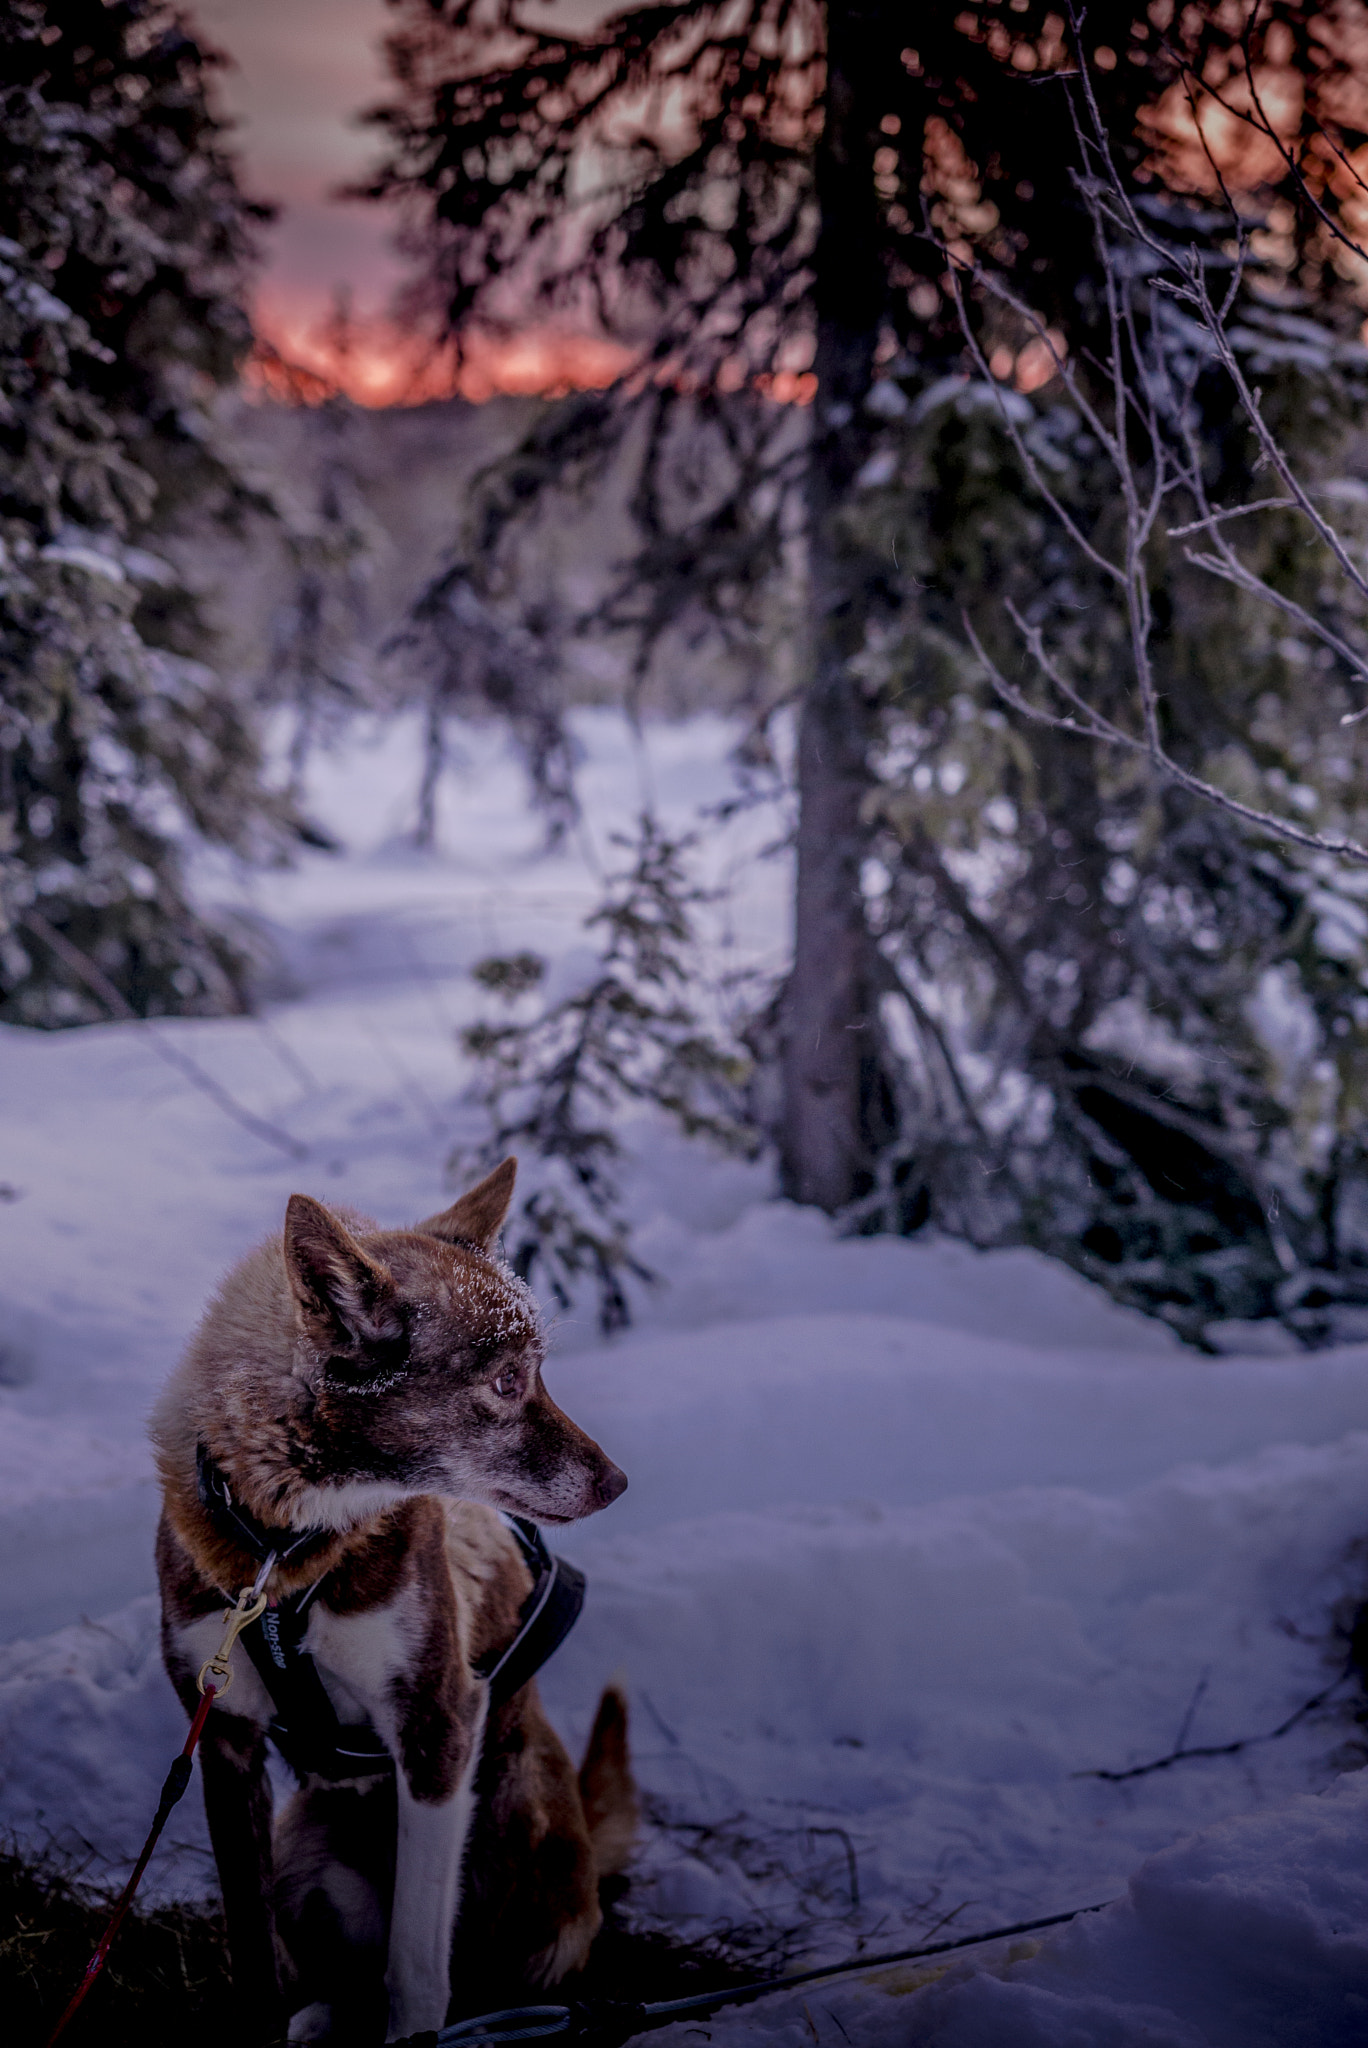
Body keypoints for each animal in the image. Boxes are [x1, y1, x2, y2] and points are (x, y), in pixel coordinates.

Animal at [150, 1163, 634, 2039]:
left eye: (539, 1372)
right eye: (507, 1380)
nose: (616, 1482)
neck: (287, 1549)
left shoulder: (436, 1726)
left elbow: (415, 1963)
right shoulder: (226, 1742)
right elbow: (254, 1955)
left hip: (517, 1848)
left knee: (487, 1967)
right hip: (306, 1855)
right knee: (336, 1973)